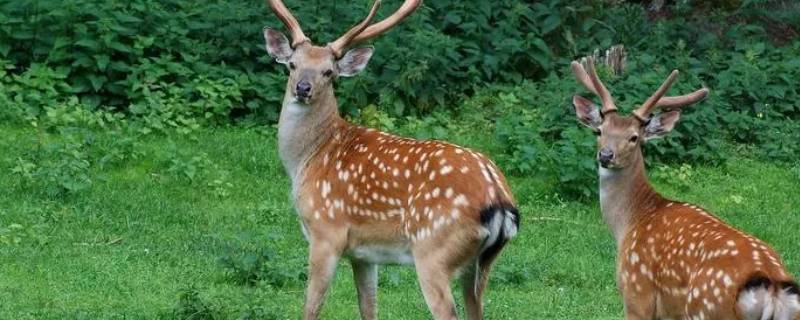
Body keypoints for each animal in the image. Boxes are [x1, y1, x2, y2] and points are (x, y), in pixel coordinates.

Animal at [260, 1, 520, 318]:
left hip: (433, 251)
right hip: (479, 265)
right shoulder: (363, 254)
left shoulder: (326, 232)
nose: (303, 88)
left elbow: (311, 308)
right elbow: (368, 307)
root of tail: (500, 200)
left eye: (328, 72)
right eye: (292, 65)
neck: (308, 158)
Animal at [568, 58, 800, 320]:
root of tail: (773, 288)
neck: (629, 222)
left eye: (634, 137)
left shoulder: (636, 291)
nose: (606, 155)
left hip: (705, 309)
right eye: (599, 131)